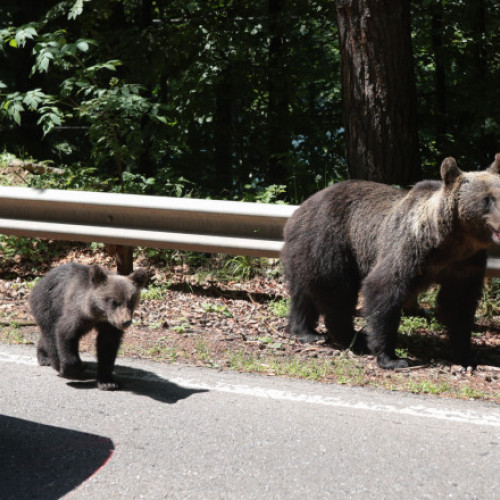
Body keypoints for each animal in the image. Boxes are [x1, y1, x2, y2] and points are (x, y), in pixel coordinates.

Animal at [284, 154, 500, 370]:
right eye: (487, 199)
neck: (451, 243)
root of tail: (300, 208)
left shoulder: (465, 264)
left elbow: (459, 305)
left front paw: (466, 356)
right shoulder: (409, 248)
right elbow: (384, 290)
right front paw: (391, 357)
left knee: (303, 293)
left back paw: (305, 331)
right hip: (330, 241)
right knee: (336, 292)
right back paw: (351, 337)